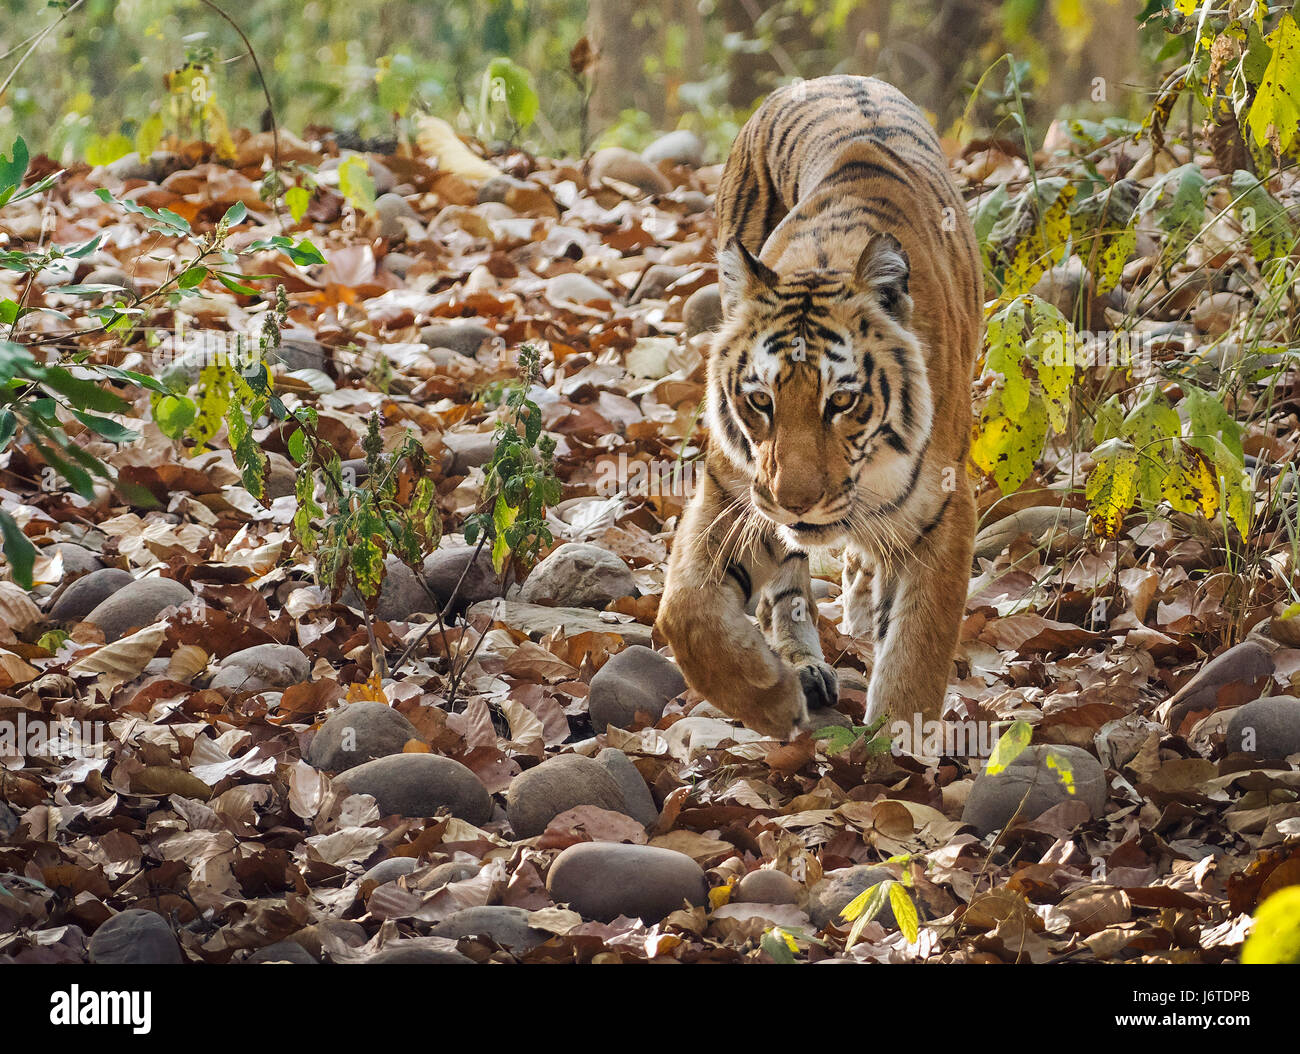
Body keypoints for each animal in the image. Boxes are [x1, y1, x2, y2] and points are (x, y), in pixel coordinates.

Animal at [655, 74, 977, 738]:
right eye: (760, 401)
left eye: (843, 401)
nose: (796, 502)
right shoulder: (733, 494)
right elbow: (686, 611)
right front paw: (772, 700)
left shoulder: (944, 511)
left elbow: (916, 651)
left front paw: (895, 753)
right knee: (789, 583)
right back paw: (802, 667)